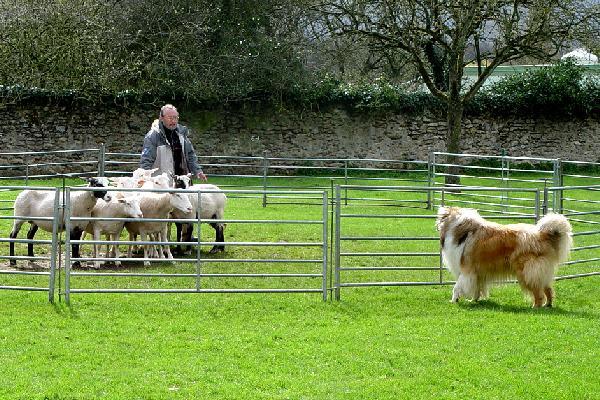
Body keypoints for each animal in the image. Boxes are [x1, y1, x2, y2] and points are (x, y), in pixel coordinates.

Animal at [436, 206, 572, 306]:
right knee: (547, 289)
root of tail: (543, 235)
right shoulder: (478, 273)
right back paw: (548, 305)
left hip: (526, 272)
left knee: (538, 293)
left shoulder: (467, 271)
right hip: (539, 272)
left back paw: (535, 307)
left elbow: (457, 287)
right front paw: (474, 300)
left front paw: (454, 300)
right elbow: (476, 288)